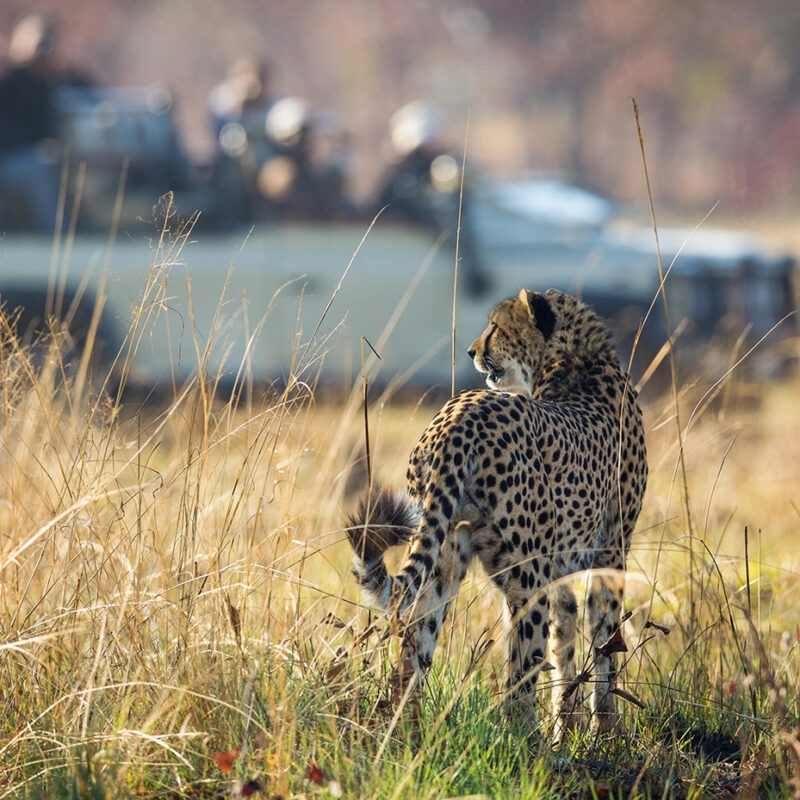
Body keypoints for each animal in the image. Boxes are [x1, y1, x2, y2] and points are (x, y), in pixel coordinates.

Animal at [345, 288, 648, 738]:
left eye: (496, 326)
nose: (473, 351)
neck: (572, 359)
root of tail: (458, 416)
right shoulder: (609, 552)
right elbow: (604, 646)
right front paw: (605, 733)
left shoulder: (562, 565)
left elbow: (566, 644)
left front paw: (569, 729)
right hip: (526, 577)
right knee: (519, 678)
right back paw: (527, 744)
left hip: (442, 557)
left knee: (412, 653)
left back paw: (406, 735)